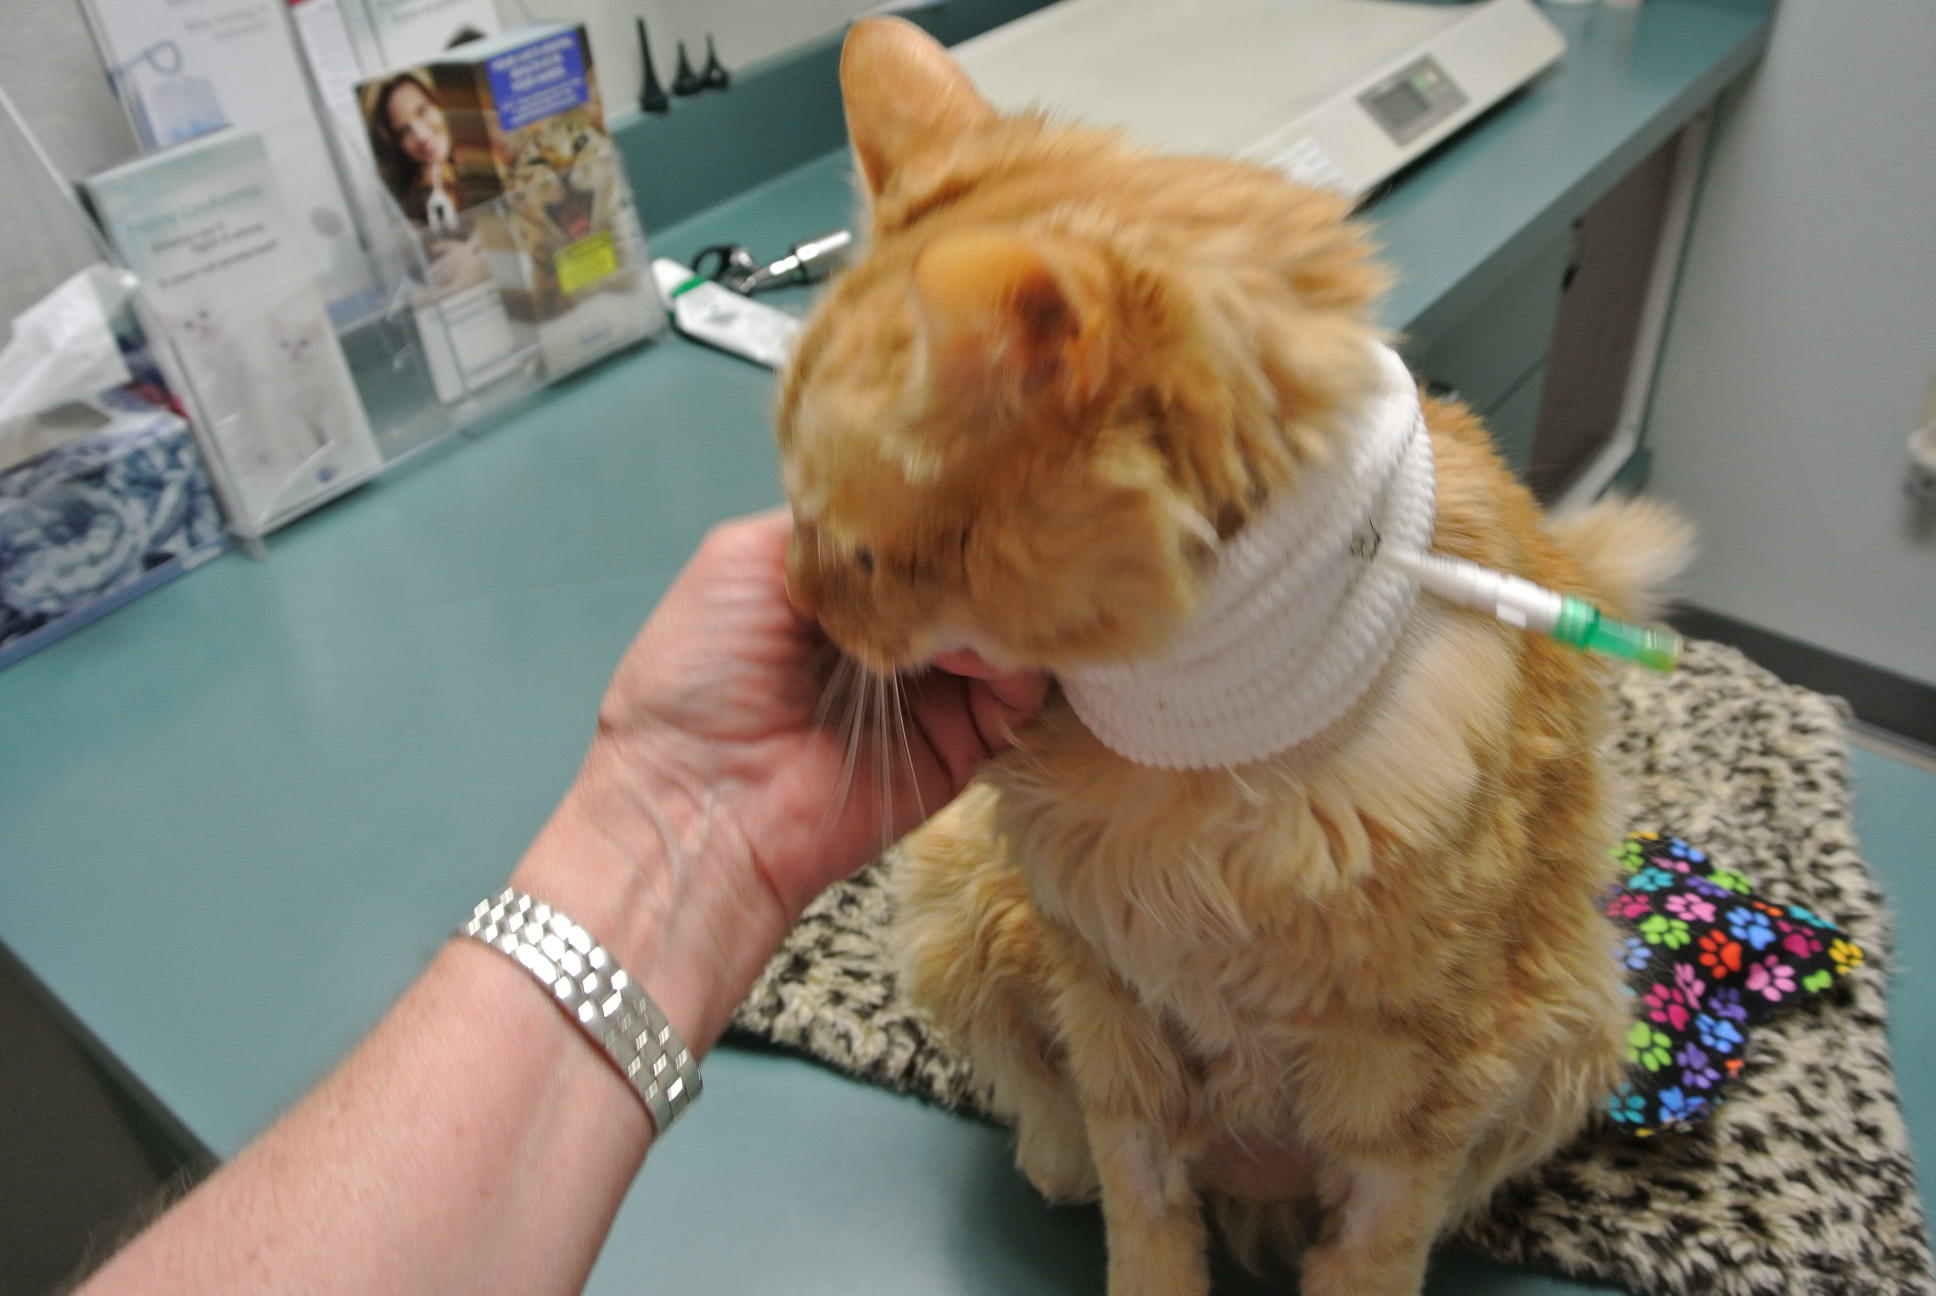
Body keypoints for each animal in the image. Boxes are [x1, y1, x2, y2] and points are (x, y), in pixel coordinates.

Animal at [776, 19, 1695, 1296]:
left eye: (856, 552)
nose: (793, 595)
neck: (1208, 789)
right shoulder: (1114, 1021)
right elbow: (1144, 1221)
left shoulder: (1413, 1104)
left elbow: (1374, 1254)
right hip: (956, 899)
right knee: (1045, 1112)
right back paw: (1052, 1161)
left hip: (1574, 1022)